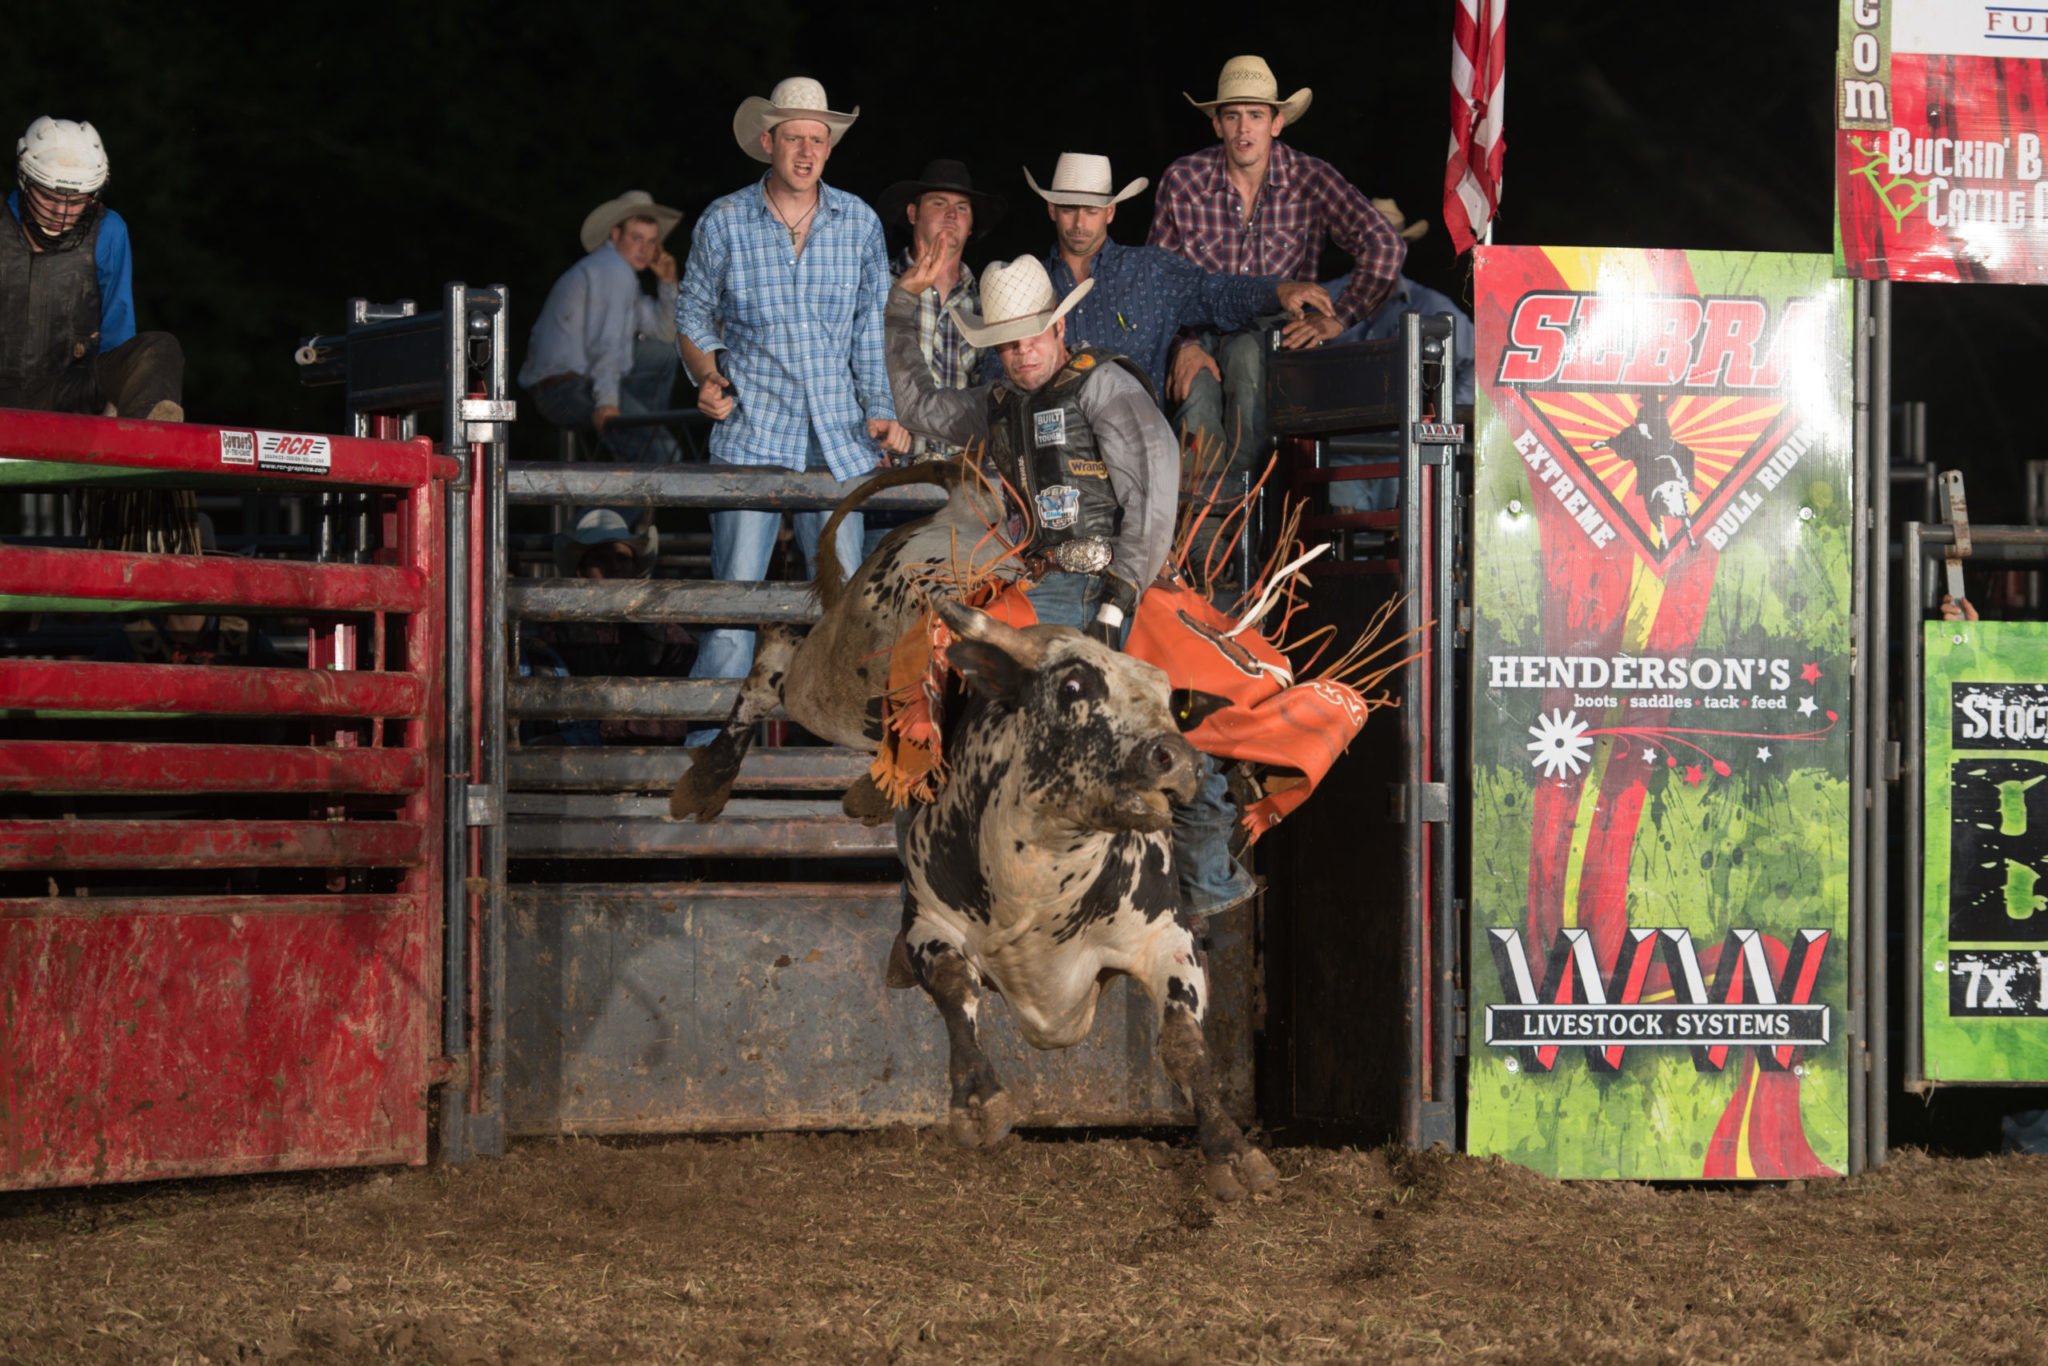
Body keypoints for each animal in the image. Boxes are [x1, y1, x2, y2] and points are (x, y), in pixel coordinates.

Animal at [888, 602, 1269, 1204]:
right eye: (1073, 684)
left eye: (1172, 703)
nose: (1179, 757)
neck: (1037, 880)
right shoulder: (928, 919)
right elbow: (954, 986)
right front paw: (976, 1101)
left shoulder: (1166, 938)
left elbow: (1184, 1043)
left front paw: (1231, 1149)